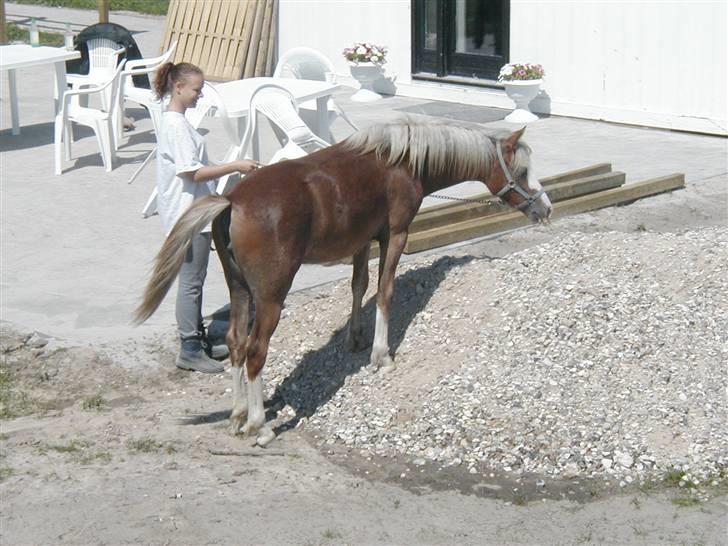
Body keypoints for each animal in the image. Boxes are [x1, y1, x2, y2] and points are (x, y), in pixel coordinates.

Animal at [134, 118, 552, 447]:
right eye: (523, 172)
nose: (545, 209)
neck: (400, 162)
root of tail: (232, 199)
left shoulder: (361, 240)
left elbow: (359, 286)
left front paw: (355, 338)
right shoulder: (395, 235)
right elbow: (384, 292)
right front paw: (382, 356)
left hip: (239, 290)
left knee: (237, 342)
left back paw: (238, 415)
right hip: (269, 298)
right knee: (255, 351)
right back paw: (259, 425)